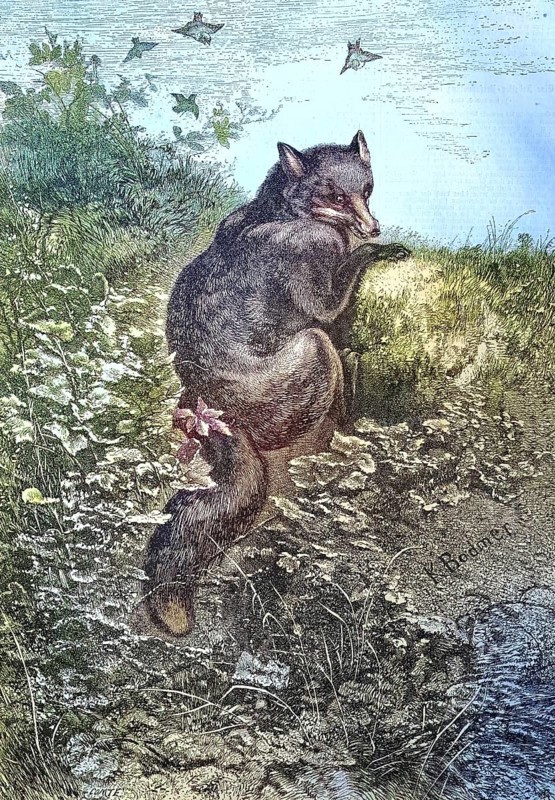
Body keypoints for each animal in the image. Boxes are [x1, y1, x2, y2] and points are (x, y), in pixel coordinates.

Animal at [143, 130, 410, 635]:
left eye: (366, 190)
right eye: (334, 197)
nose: (375, 228)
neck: (283, 212)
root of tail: (218, 411)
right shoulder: (314, 258)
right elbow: (331, 301)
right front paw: (378, 253)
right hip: (314, 352)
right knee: (331, 381)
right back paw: (347, 426)